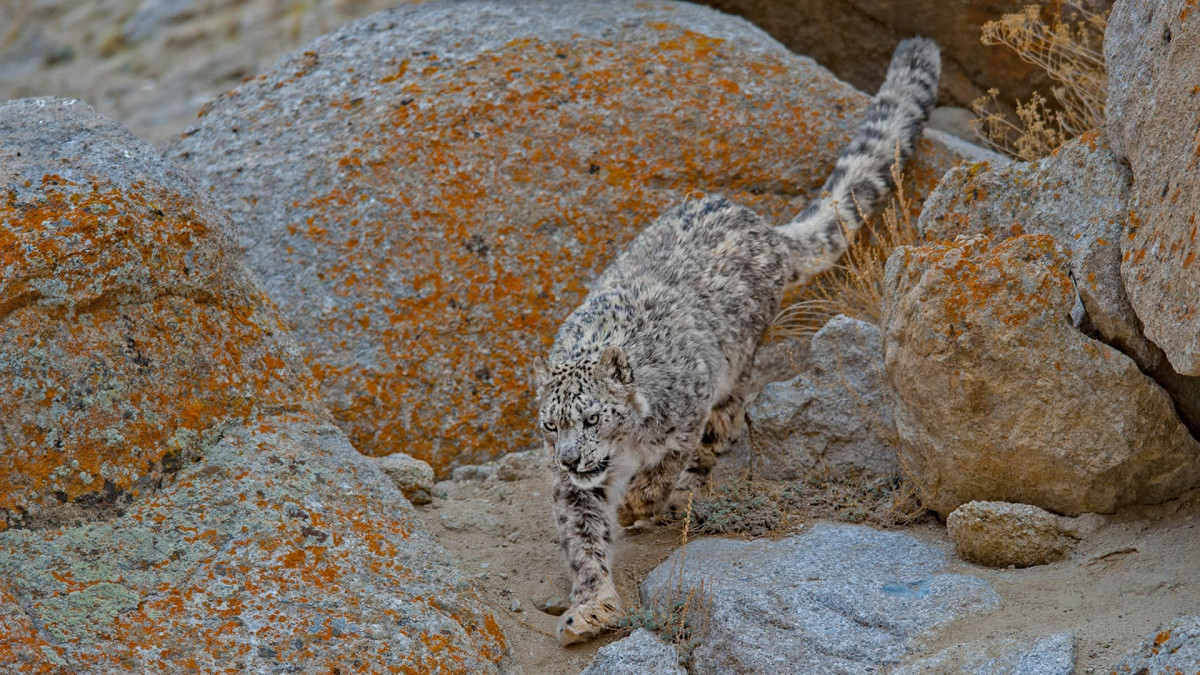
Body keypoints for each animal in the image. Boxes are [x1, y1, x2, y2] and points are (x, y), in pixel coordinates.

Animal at [532, 37, 942, 646]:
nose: (572, 458)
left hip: (738, 362)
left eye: (592, 416)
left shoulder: (684, 412)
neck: (620, 452)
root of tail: (762, 227)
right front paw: (591, 608)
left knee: (724, 424)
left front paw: (635, 505)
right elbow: (583, 539)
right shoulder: (573, 489)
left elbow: (662, 467)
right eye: (550, 425)